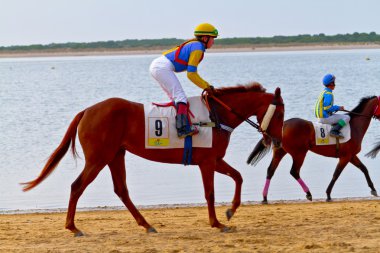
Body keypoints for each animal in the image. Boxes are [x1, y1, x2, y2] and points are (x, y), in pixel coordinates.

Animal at [20, 82, 282, 235]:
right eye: (280, 113)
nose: (278, 141)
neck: (217, 116)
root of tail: (87, 111)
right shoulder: (207, 162)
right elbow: (210, 193)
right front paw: (217, 222)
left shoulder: (215, 160)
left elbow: (238, 177)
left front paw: (230, 211)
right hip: (98, 158)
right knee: (77, 186)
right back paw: (72, 227)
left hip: (115, 155)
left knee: (121, 190)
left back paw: (146, 224)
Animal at [248, 95, 378, 204]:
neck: (355, 127)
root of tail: (283, 125)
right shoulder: (345, 157)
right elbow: (336, 174)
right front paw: (328, 194)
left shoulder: (351, 156)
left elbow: (364, 169)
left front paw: (373, 189)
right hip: (299, 153)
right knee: (294, 171)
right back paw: (308, 193)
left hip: (279, 151)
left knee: (270, 171)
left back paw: (265, 197)